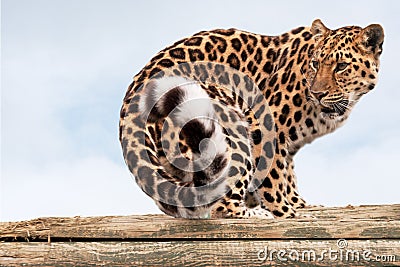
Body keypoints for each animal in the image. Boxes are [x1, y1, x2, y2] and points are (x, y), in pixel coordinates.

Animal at [119, 19, 384, 220]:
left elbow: (288, 174)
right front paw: (287, 213)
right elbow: (273, 176)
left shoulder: (287, 143)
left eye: (341, 66)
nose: (317, 93)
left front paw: (300, 204)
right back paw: (259, 215)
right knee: (221, 206)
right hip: (228, 126)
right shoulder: (268, 124)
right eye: (315, 63)